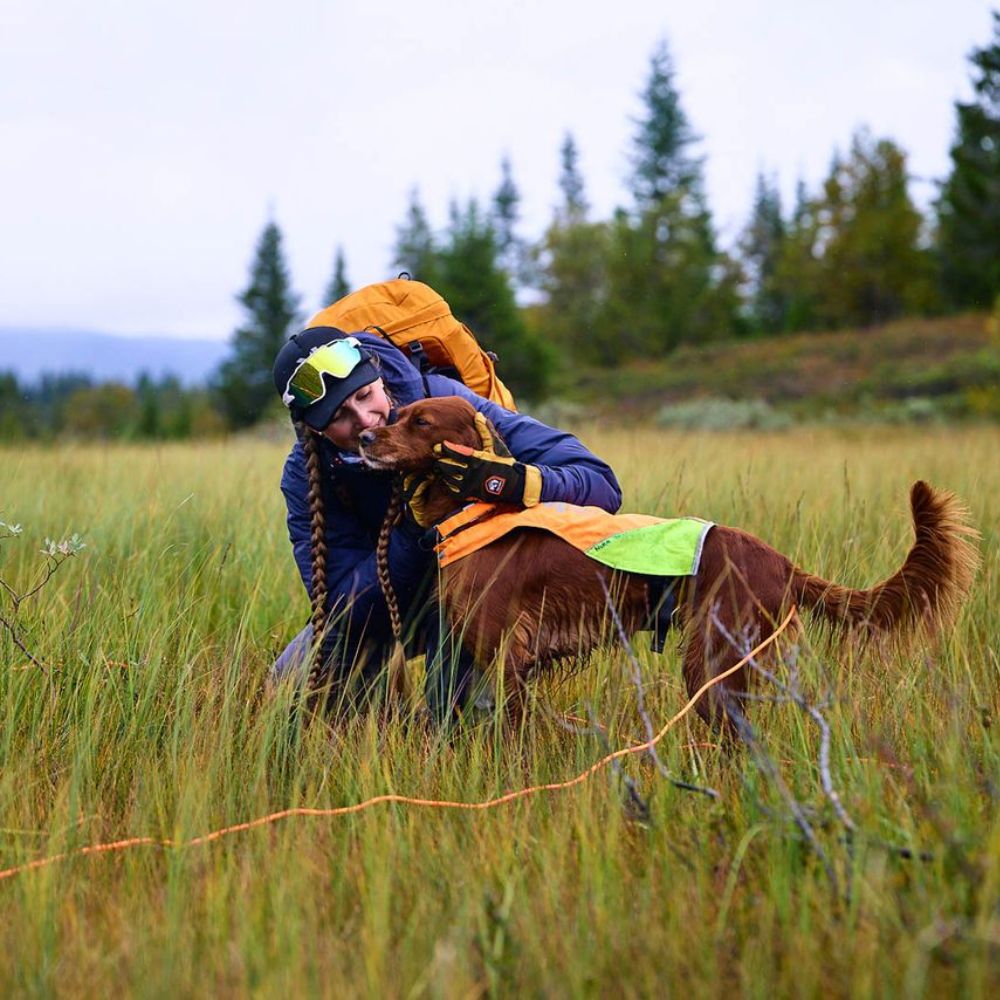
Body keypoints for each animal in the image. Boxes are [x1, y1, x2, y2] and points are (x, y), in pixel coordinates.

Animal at [359, 396, 979, 731]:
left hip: (712, 662)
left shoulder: (507, 656)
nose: (365, 437)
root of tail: (779, 560)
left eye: (420, 423)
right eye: (397, 413)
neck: (478, 508)